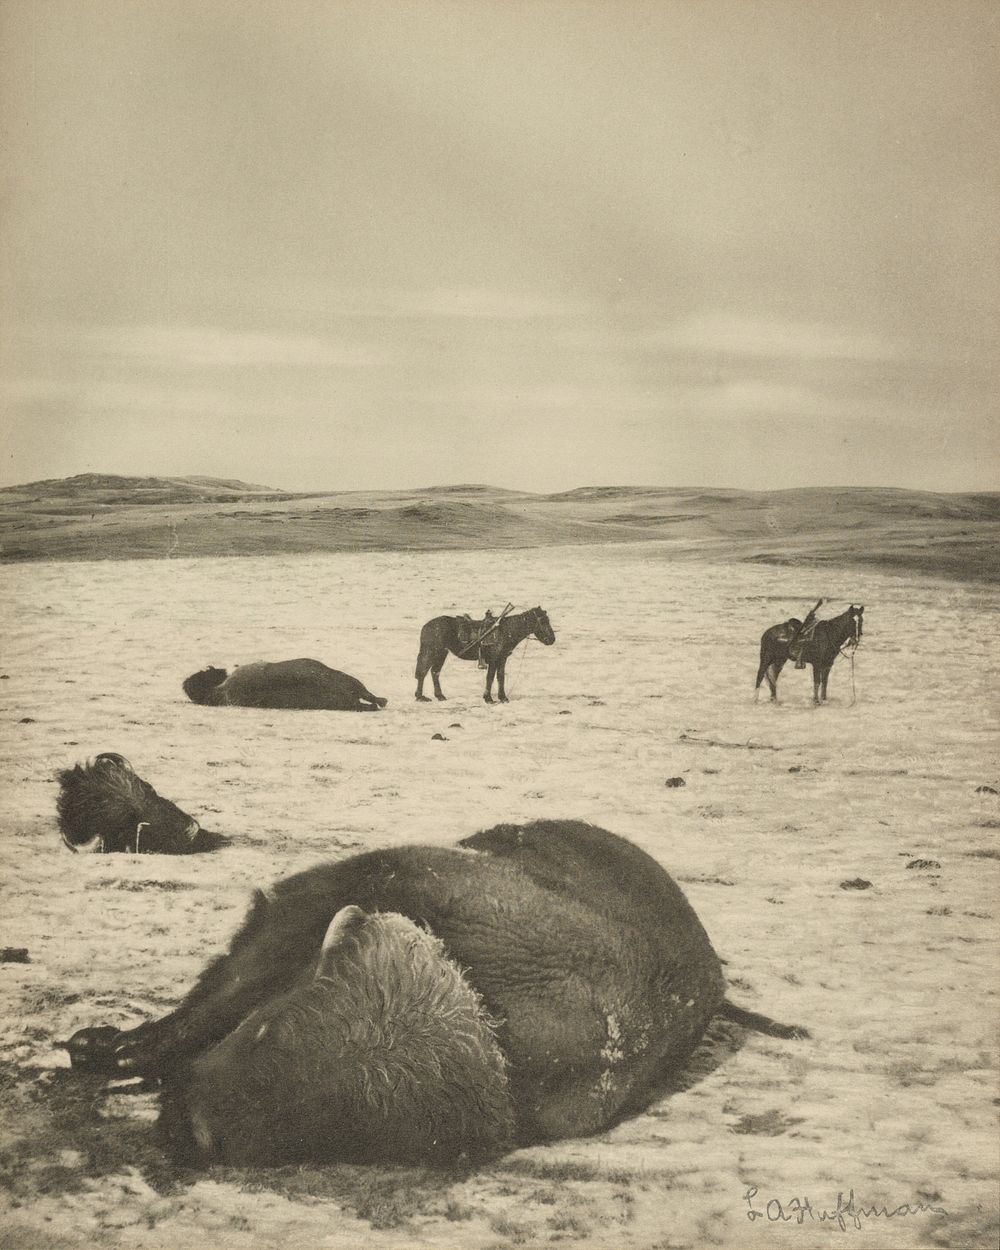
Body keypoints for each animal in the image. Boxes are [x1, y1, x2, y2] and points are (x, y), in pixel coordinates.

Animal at [412, 605, 555, 705]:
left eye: (548, 620)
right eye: (542, 621)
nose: (552, 639)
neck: (505, 631)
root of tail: (426, 626)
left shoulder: (502, 659)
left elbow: (500, 677)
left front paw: (503, 697)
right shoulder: (493, 659)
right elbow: (490, 677)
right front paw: (488, 698)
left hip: (442, 653)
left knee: (434, 672)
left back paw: (439, 696)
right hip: (431, 652)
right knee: (422, 672)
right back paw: (420, 697)